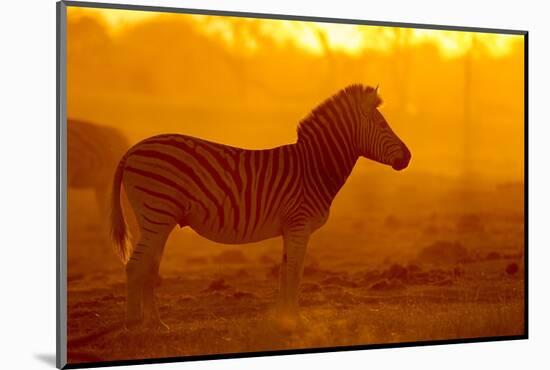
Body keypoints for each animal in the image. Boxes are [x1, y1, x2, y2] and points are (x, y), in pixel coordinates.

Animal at [111, 85, 410, 330]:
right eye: (382, 124)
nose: (408, 157)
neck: (312, 168)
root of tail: (132, 149)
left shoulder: (290, 227)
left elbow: (284, 271)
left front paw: (282, 319)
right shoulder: (300, 224)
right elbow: (296, 272)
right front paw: (297, 321)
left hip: (159, 219)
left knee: (149, 265)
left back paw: (156, 323)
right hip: (157, 214)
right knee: (135, 264)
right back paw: (133, 323)